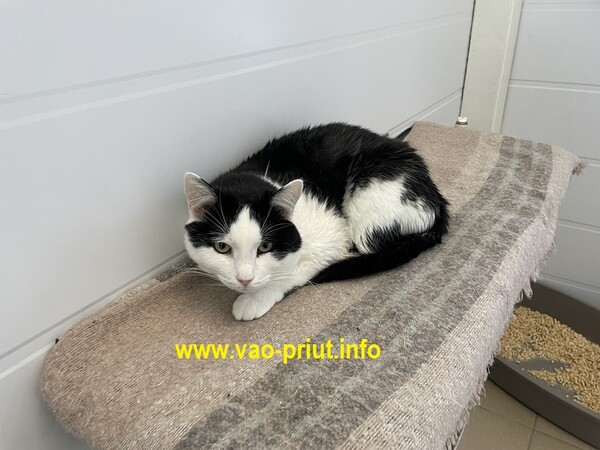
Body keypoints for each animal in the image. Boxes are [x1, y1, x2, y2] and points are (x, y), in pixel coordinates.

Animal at [184, 123, 449, 321]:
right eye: (222, 248)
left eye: (265, 247)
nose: (244, 280)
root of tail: (437, 198)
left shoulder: (331, 234)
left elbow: (294, 270)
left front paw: (254, 299)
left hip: (372, 198)